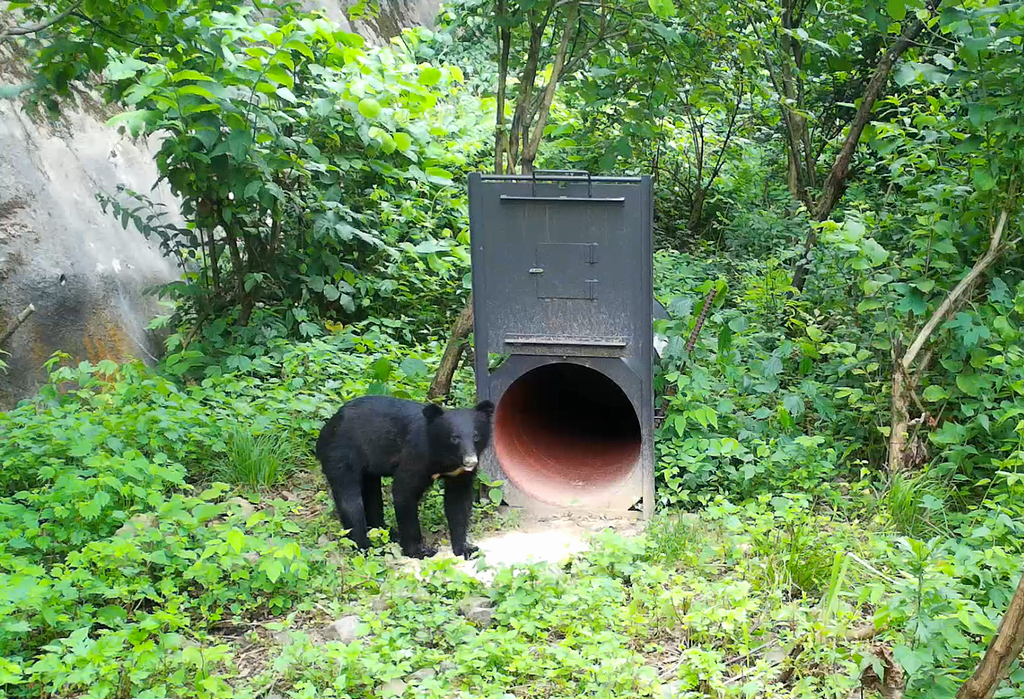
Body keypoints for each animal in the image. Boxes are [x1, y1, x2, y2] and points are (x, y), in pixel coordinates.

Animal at [317, 397, 497, 560]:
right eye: (454, 438)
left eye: (476, 436)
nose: (470, 461)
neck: (446, 459)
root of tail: (328, 426)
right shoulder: (416, 456)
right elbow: (404, 492)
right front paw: (420, 551)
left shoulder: (458, 474)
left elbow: (458, 504)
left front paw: (466, 549)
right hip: (341, 455)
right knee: (351, 502)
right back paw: (366, 548)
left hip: (368, 467)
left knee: (372, 496)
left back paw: (387, 533)